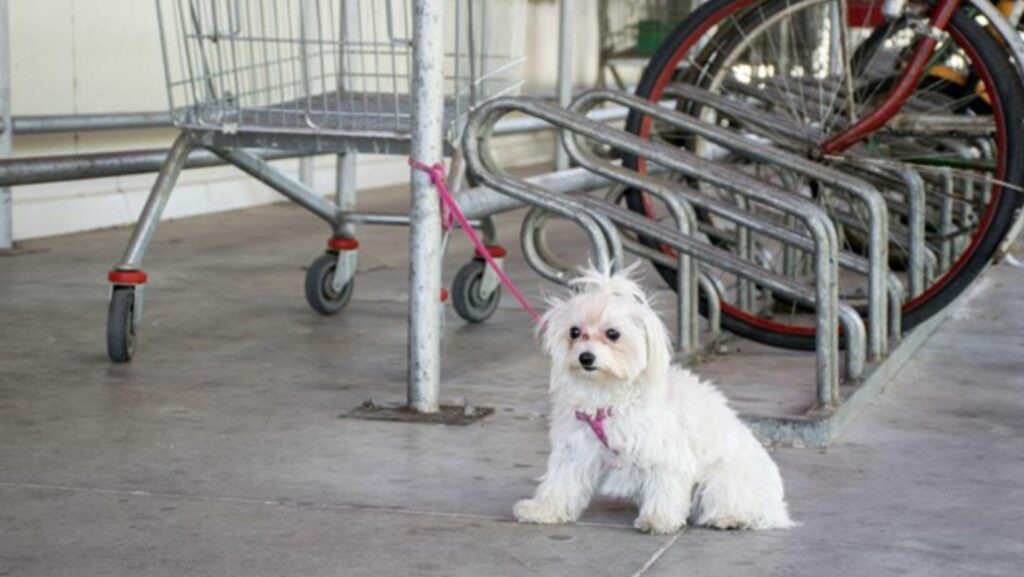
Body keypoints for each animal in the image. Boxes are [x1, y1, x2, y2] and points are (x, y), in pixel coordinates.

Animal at [516, 268, 794, 537]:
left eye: (613, 334)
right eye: (574, 332)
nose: (586, 358)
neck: (606, 394)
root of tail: (778, 508)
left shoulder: (666, 455)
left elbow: (665, 489)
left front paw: (658, 520)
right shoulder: (575, 449)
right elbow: (559, 484)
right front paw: (543, 510)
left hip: (722, 481)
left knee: (742, 509)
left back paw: (730, 518)